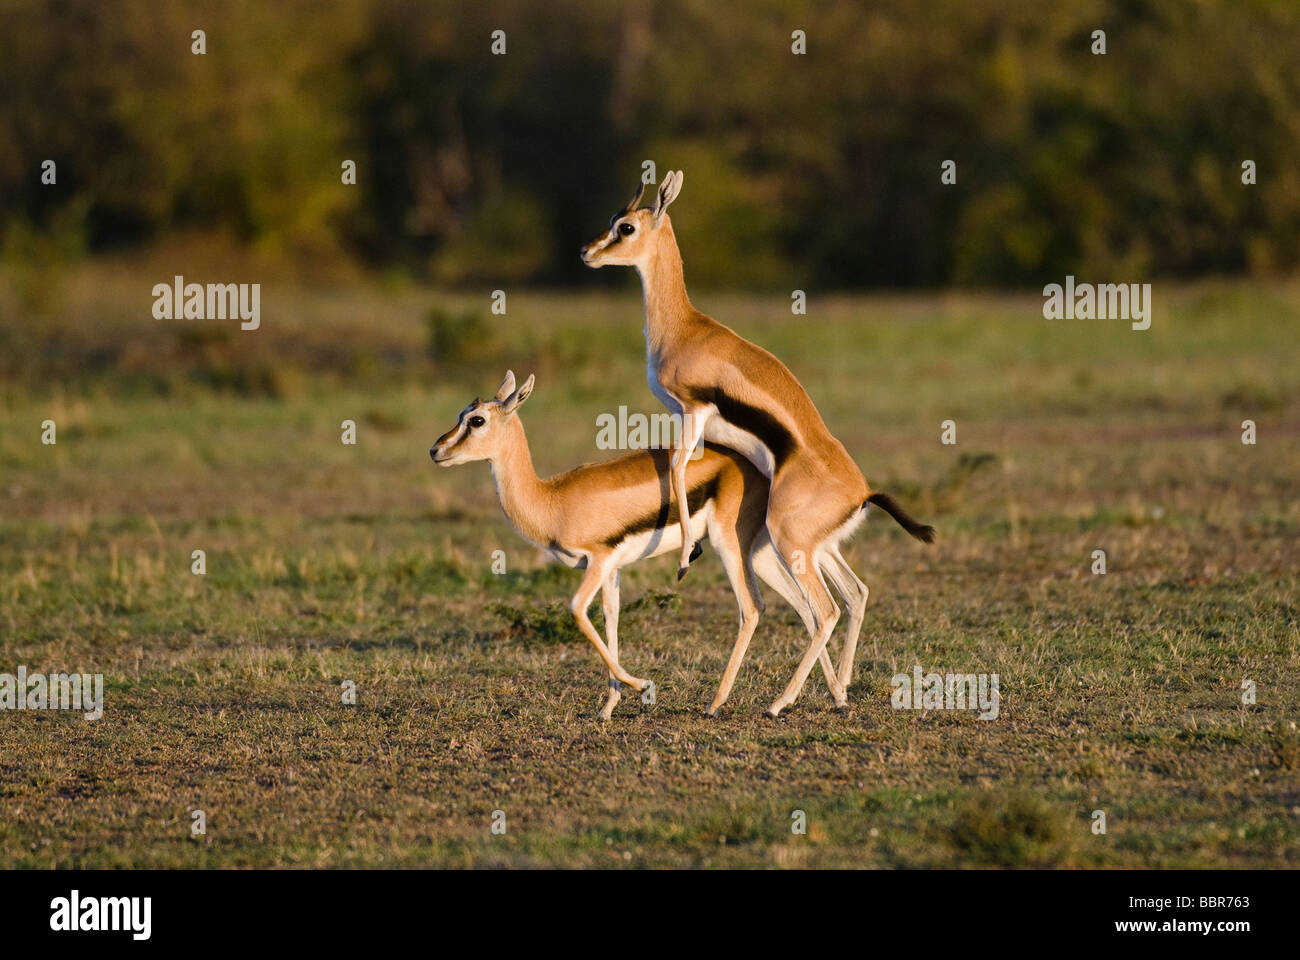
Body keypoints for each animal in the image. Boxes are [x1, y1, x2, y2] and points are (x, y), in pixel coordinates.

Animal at [429, 371, 846, 720]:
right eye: (461, 414)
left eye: (477, 420)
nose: (435, 451)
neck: (552, 500)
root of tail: (761, 467)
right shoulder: (611, 569)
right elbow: (610, 619)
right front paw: (608, 707)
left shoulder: (598, 561)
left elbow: (577, 610)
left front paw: (641, 684)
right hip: (756, 553)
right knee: (806, 607)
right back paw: (829, 696)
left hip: (729, 545)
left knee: (754, 607)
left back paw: (717, 703)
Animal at [581, 172, 936, 717]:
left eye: (625, 227)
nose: (586, 252)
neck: (684, 328)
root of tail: (860, 493)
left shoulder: (692, 412)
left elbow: (679, 470)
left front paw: (685, 557)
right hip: (813, 548)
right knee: (855, 594)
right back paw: (837, 694)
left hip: (791, 541)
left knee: (826, 609)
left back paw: (776, 702)